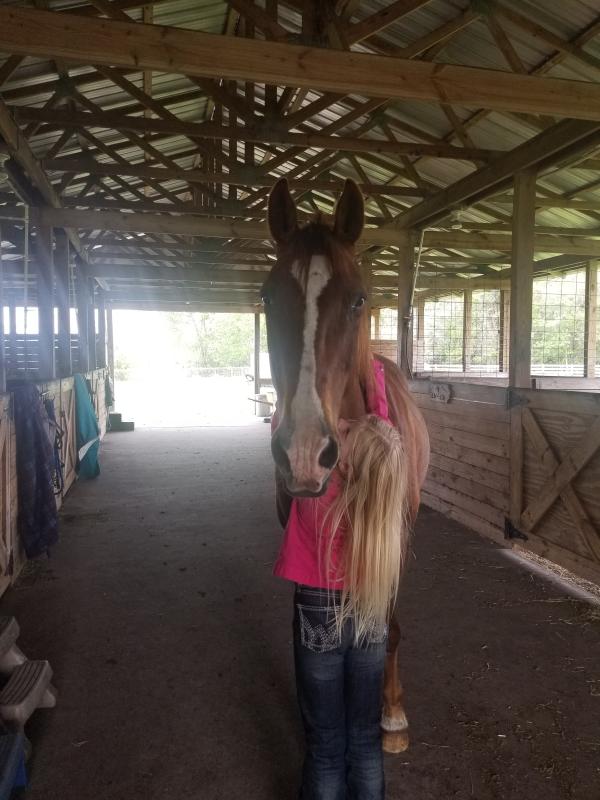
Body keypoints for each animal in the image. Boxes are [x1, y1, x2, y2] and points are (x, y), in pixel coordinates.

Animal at [262, 177, 430, 753]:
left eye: (359, 299)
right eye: (268, 297)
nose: (304, 452)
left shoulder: (394, 536)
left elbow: (389, 623)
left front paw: (392, 712)